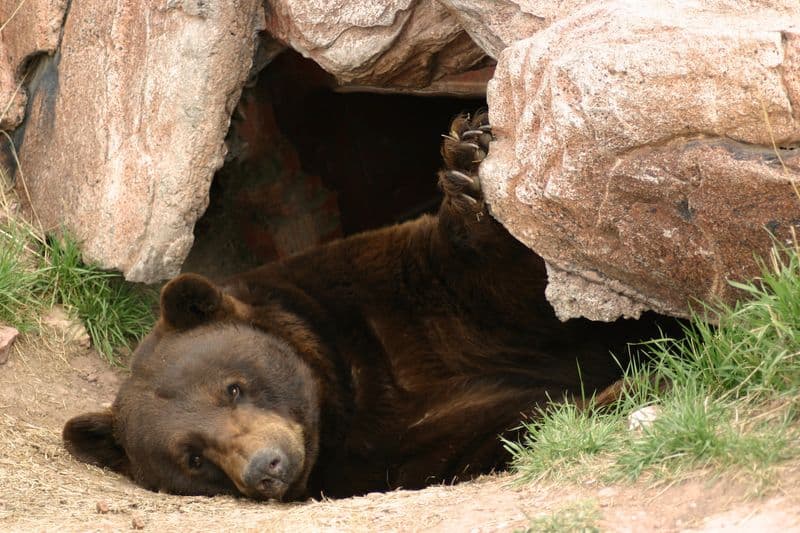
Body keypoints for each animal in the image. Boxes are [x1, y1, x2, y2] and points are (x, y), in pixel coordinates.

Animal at [63, 111, 673, 501]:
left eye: (232, 387)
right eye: (192, 457)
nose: (266, 467)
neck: (343, 386)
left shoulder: (392, 292)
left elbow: (510, 280)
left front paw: (467, 164)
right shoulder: (379, 450)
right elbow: (489, 429)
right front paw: (623, 389)